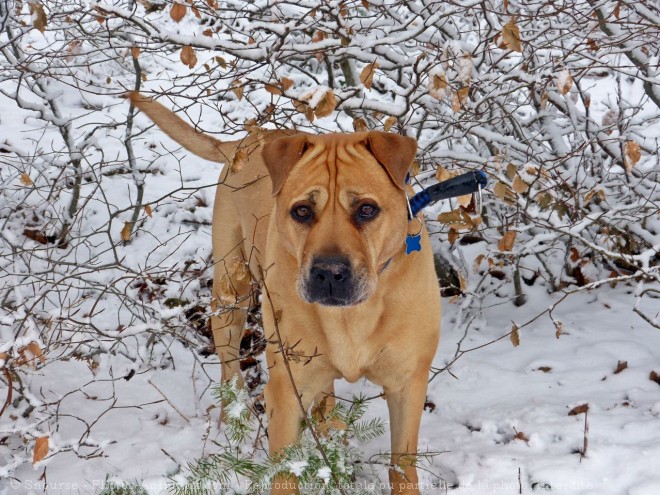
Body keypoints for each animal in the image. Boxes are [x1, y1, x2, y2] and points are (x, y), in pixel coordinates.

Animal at [128, 94, 438, 495]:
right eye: (302, 211)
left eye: (367, 209)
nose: (329, 273)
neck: (353, 314)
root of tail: (252, 137)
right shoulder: (287, 391)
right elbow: (286, 471)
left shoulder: (407, 385)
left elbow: (402, 469)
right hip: (231, 292)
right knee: (231, 370)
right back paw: (235, 423)